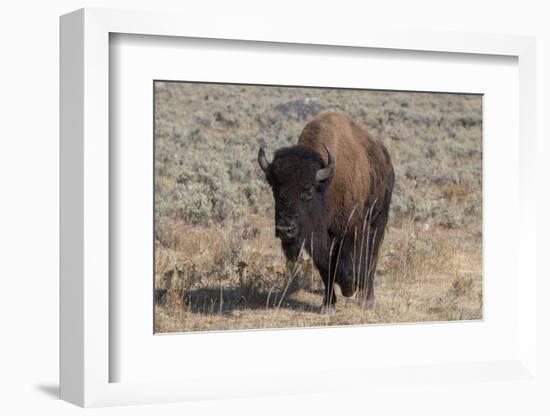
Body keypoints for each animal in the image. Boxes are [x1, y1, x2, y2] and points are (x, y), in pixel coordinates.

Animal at [260, 112, 396, 310]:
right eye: (274, 189)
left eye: (308, 191)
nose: (285, 230)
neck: (327, 185)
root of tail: (386, 158)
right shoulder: (318, 238)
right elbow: (326, 268)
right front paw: (328, 305)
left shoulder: (352, 229)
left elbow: (352, 263)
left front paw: (349, 288)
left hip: (378, 219)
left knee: (372, 256)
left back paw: (367, 300)